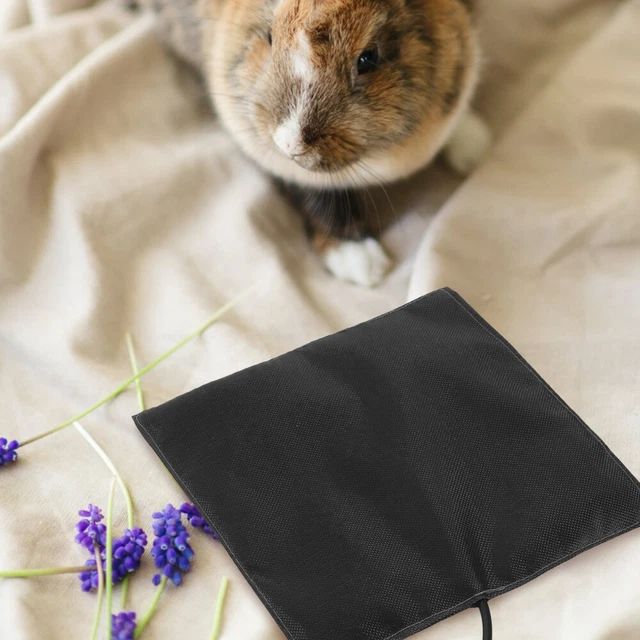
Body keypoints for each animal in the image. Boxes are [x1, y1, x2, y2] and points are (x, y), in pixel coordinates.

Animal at [134, 0, 491, 286]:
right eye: (270, 37)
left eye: (368, 58)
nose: (289, 143)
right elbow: (315, 192)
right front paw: (359, 261)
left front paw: (473, 145)